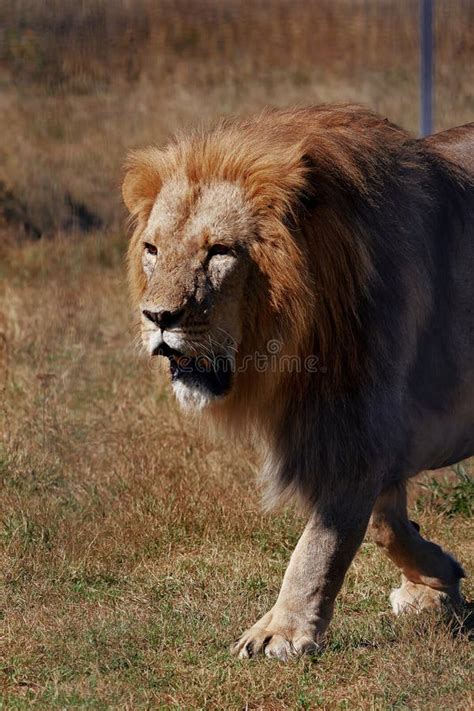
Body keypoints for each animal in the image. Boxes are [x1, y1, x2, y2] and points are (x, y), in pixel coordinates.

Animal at [123, 105, 474, 660]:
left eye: (219, 251)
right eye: (153, 249)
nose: (158, 317)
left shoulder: (357, 436)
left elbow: (321, 543)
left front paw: (280, 632)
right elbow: (384, 523)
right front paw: (434, 584)